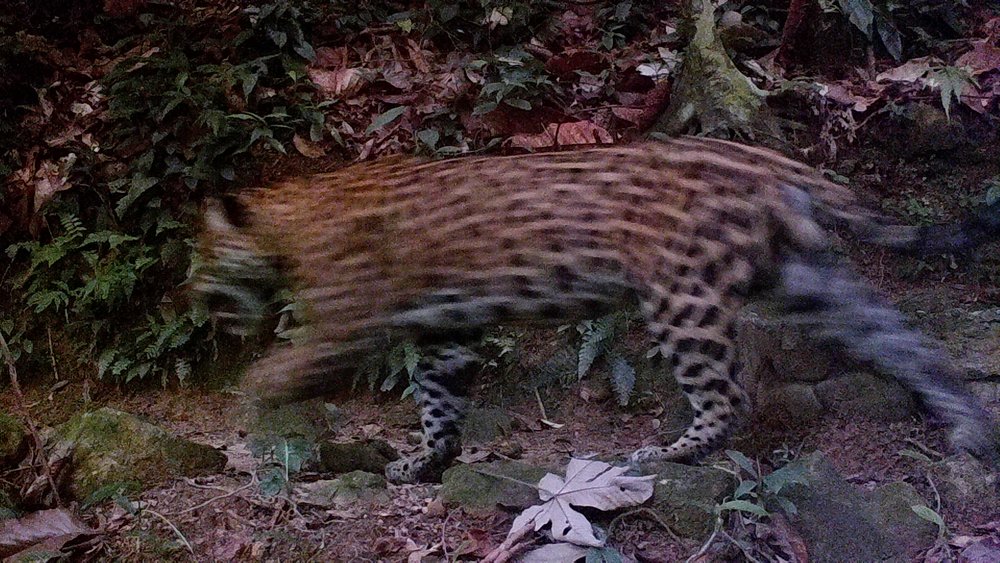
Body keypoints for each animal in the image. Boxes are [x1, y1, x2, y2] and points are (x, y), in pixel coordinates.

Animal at [193, 136, 1000, 484]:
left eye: (198, 258)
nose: (191, 301)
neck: (287, 220)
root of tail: (773, 160)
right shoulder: (447, 329)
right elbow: (438, 401)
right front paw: (426, 460)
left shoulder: (346, 320)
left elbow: (280, 371)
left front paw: (250, 408)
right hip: (806, 279)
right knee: (905, 341)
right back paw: (970, 426)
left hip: (681, 298)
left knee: (730, 394)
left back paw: (666, 453)